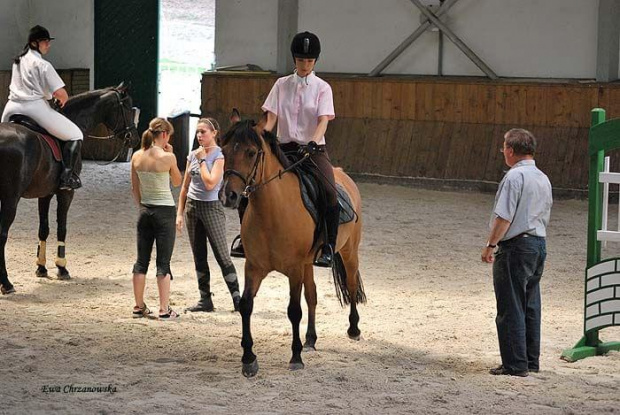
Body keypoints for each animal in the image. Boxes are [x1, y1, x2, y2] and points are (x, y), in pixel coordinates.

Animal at [0, 84, 139, 294]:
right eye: (127, 107)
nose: (134, 139)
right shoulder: (66, 192)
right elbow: (62, 228)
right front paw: (62, 268)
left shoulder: (45, 193)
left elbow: (43, 229)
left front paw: (41, 267)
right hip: (10, 199)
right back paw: (6, 283)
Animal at [220, 115, 366, 378]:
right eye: (224, 150)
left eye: (251, 152)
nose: (229, 196)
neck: (272, 212)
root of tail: (342, 175)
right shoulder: (253, 267)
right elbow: (246, 306)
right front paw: (248, 359)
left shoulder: (294, 269)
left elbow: (293, 310)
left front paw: (295, 357)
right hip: (309, 263)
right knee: (313, 295)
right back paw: (310, 339)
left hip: (349, 252)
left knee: (350, 286)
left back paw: (353, 330)